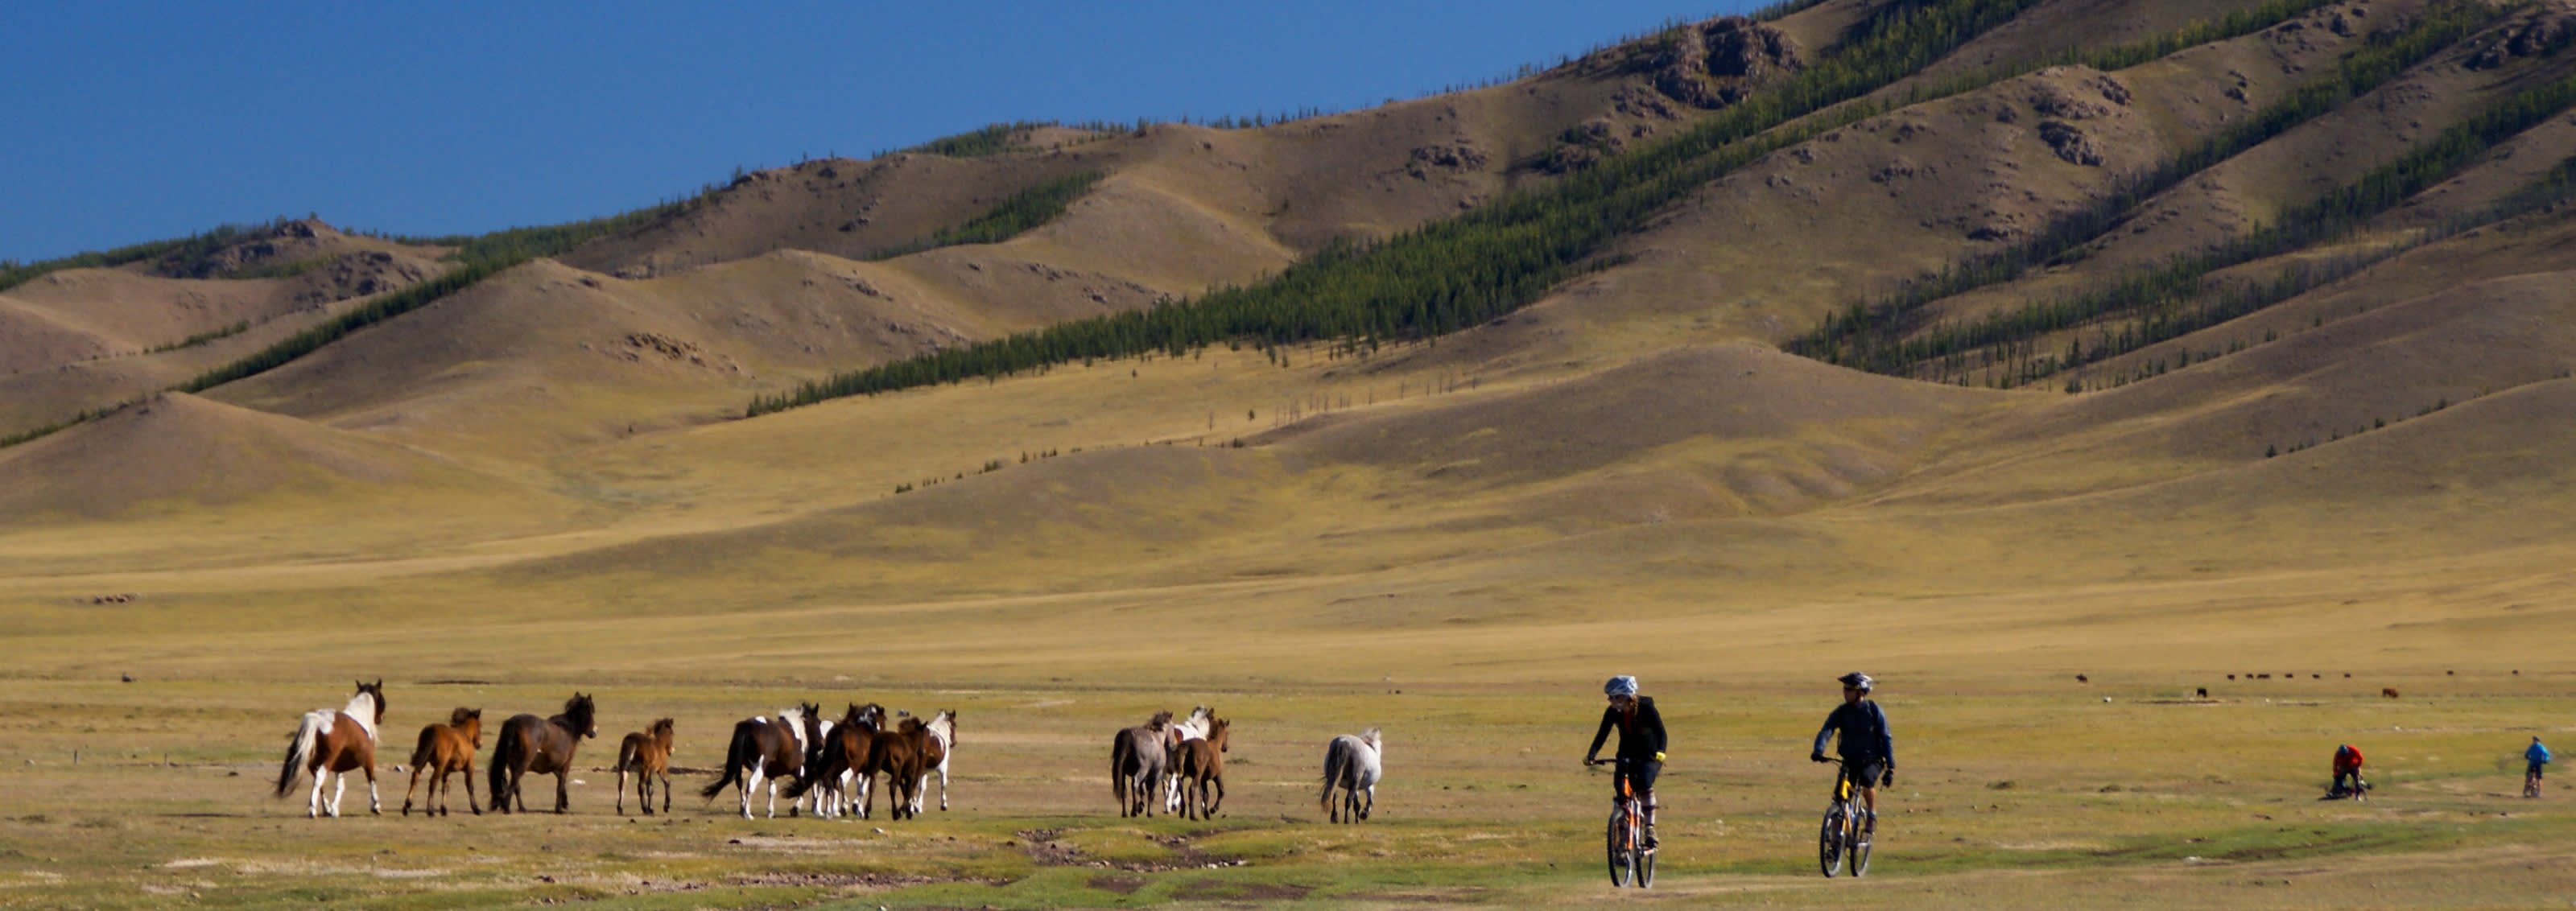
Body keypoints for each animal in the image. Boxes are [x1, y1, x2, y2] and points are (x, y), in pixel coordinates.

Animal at [279, 674, 389, 818]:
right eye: (382, 699)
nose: (380, 719)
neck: (360, 717)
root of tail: (317, 719)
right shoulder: (368, 759)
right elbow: (372, 779)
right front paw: (376, 806)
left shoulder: (339, 765)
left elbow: (340, 786)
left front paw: (334, 809)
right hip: (327, 760)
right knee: (320, 778)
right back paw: (312, 810)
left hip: (313, 763)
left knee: (319, 782)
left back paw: (325, 809)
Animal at [399, 705, 481, 818]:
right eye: (480, 726)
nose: (480, 744)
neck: (465, 736)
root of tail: (431, 729)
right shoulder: (469, 767)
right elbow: (470, 787)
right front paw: (476, 809)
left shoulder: (446, 771)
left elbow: (445, 787)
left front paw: (443, 809)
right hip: (439, 766)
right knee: (432, 783)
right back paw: (430, 810)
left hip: (423, 762)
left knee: (415, 777)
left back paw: (407, 806)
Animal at [486, 695, 597, 813]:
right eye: (590, 712)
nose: (595, 732)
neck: (568, 730)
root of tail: (514, 723)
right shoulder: (566, 764)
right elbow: (560, 784)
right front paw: (559, 809)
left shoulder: (553, 765)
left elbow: (560, 781)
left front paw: (564, 803)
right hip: (524, 762)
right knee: (514, 780)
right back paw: (506, 807)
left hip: (512, 764)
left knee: (516, 785)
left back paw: (522, 808)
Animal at [700, 699, 819, 823]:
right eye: (817, 723)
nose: (820, 745)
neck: (795, 731)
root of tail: (748, 727)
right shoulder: (798, 770)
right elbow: (802, 786)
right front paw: (795, 809)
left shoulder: (772, 774)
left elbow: (772, 791)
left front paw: (770, 812)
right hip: (758, 769)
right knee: (750, 785)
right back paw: (747, 814)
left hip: (740, 766)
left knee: (739, 783)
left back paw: (743, 809)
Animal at [1113, 710, 1179, 818]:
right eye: (1173, 728)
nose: (1175, 744)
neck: (1158, 738)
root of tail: (1128, 735)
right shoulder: (1157, 774)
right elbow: (1151, 792)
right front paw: (1149, 812)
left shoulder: (1146, 776)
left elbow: (1142, 790)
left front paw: (1141, 806)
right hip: (1142, 770)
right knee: (1134, 783)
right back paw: (1133, 811)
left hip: (1122, 772)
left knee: (1124, 790)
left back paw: (1125, 813)